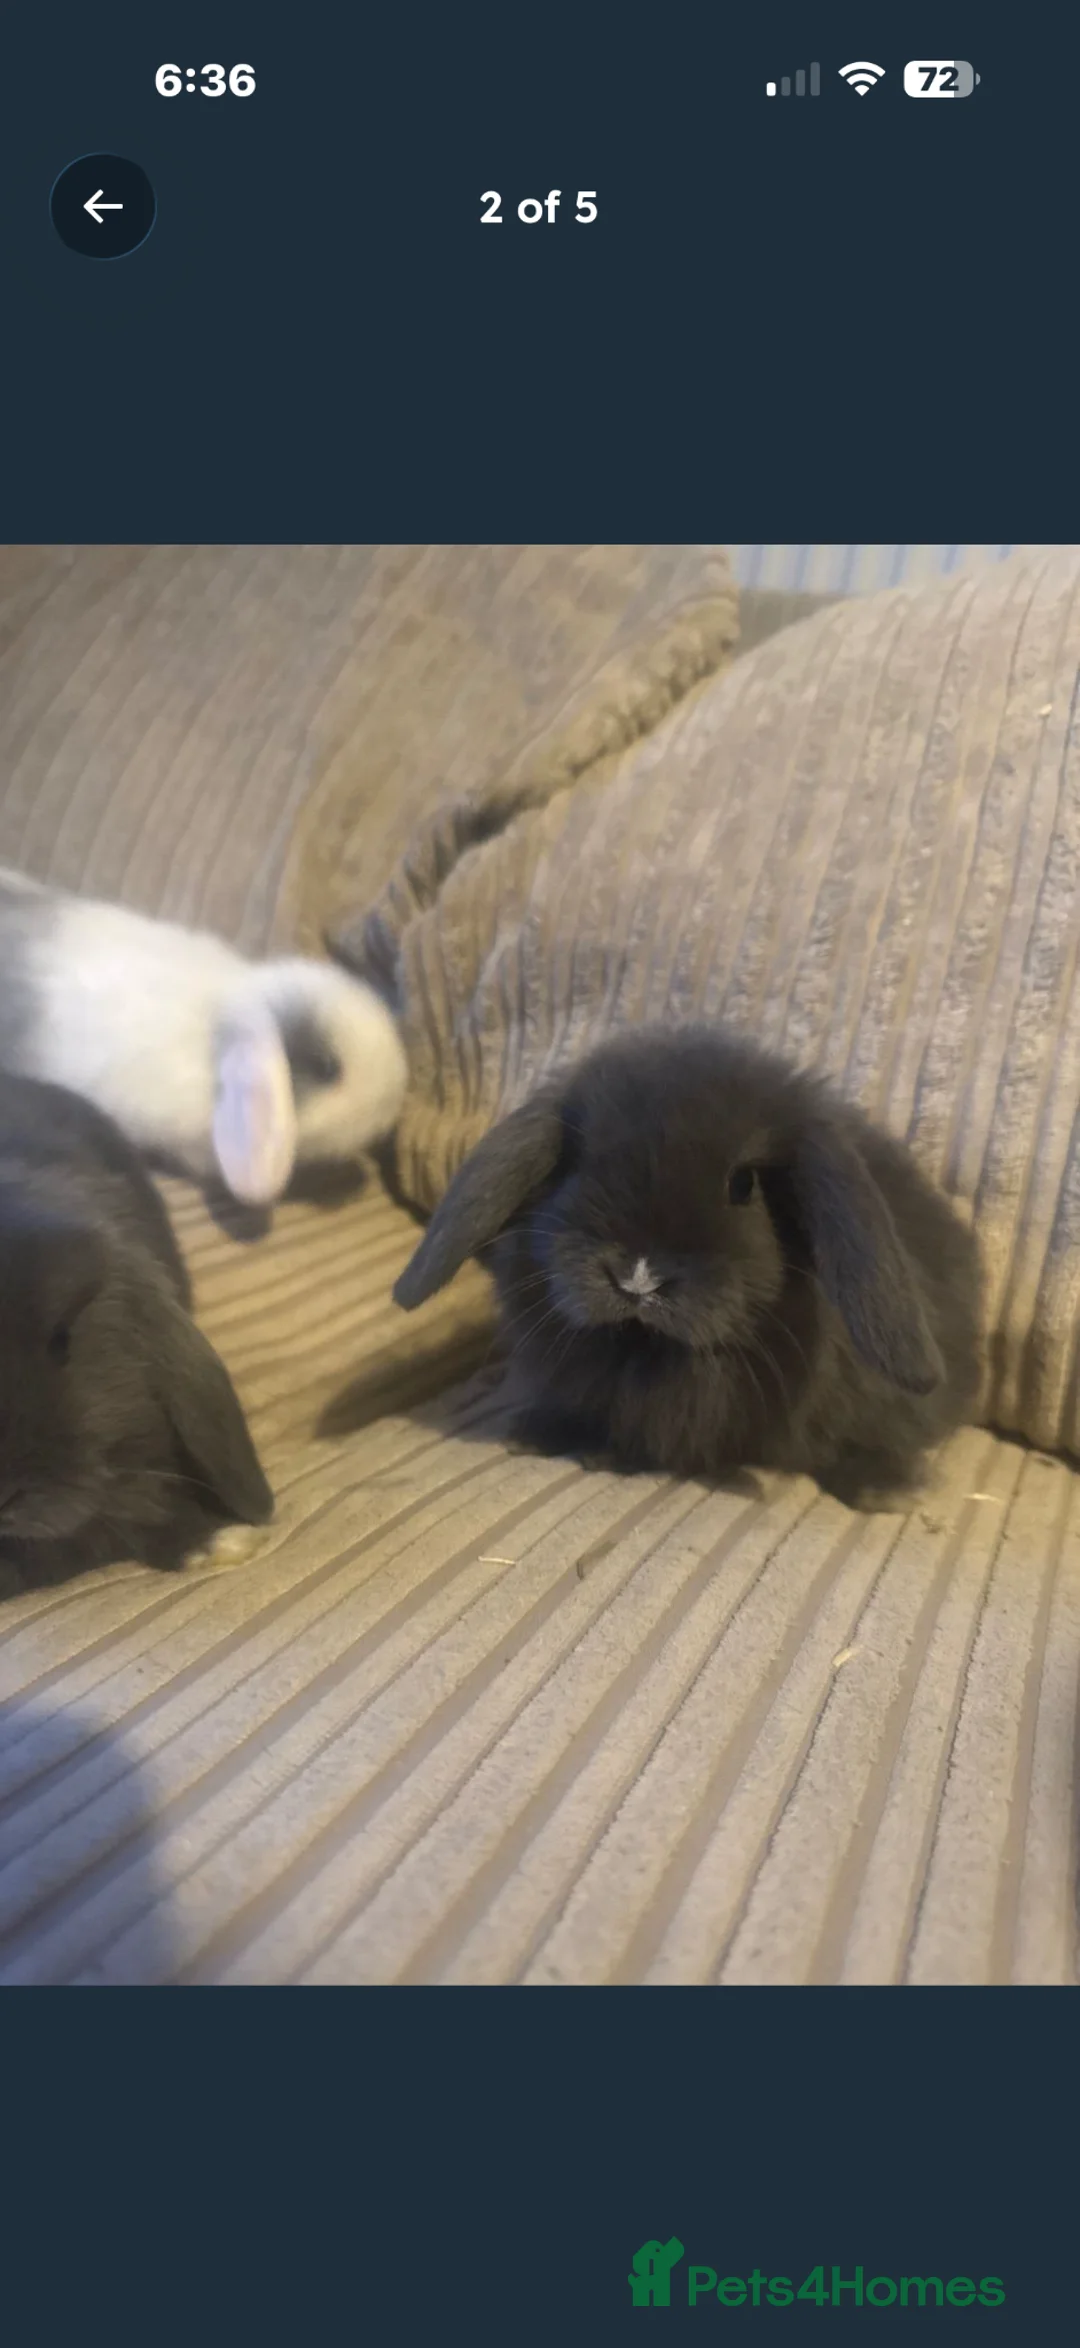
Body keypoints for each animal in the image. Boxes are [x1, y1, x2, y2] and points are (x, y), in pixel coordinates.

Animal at [392, 1026, 983, 1510]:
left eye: (743, 1184)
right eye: (578, 1163)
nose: (638, 1277)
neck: (647, 1351)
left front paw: (609, 1456)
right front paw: (537, 1433)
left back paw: (883, 1492)